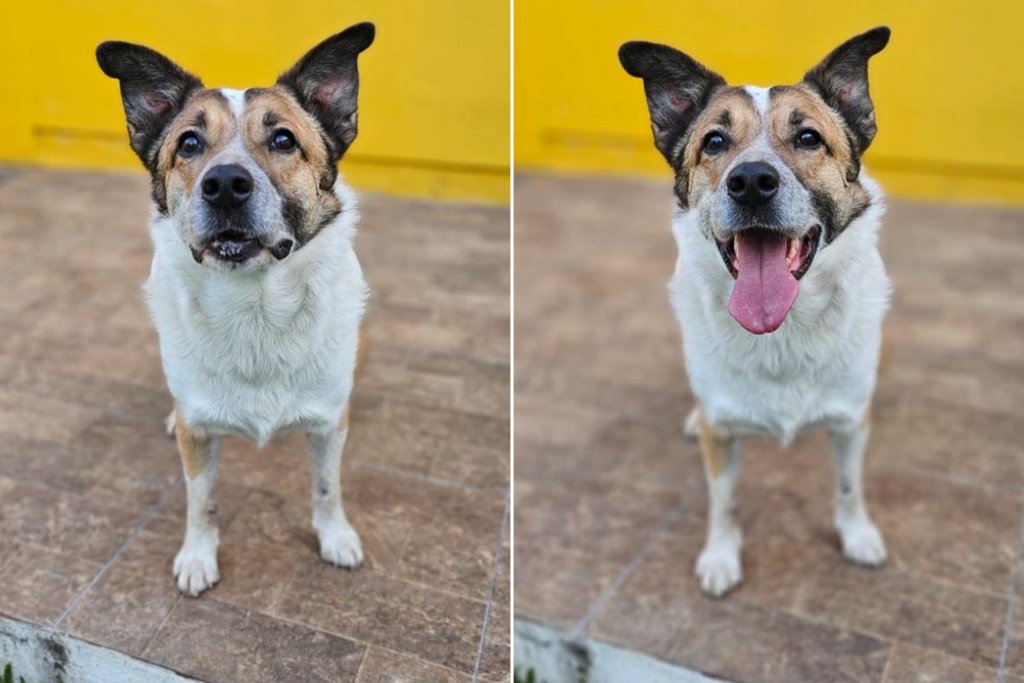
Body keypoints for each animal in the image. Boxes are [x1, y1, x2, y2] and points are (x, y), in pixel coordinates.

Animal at [96, 24, 374, 593]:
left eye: (284, 140)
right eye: (189, 143)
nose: (224, 184)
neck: (256, 304)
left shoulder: (330, 424)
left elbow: (327, 486)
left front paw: (335, 536)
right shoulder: (198, 436)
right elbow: (199, 499)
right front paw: (198, 556)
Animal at [618, 26, 892, 593]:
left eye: (808, 138)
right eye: (714, 142)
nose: (750, 182)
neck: (782, 331)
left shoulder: (852, 422)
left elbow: (850, 485)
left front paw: (858, 536)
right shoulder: (721, 434)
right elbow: (724, 499)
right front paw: (721, 557)